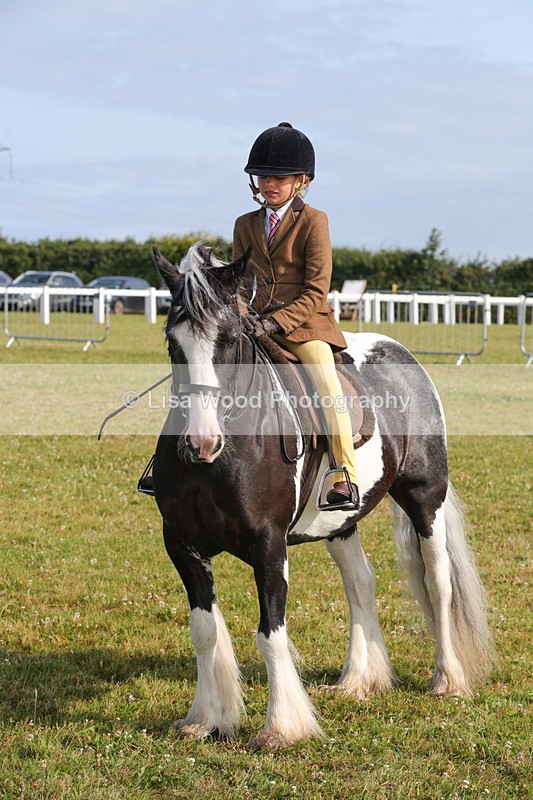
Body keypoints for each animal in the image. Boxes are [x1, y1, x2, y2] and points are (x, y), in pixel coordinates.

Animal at [149, 242, 493, 750]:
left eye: (228, 339)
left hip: (424, 499)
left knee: (438, 582)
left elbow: (270, 635)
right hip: (341, 522)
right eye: (174, 342)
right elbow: (205, 632)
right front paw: (207, 718)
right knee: (361, 583)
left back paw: (448, 679)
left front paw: (282, 727)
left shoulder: (269, 547)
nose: (201, 443)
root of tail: (403, 356)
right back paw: (359, 680)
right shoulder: (183, 546)